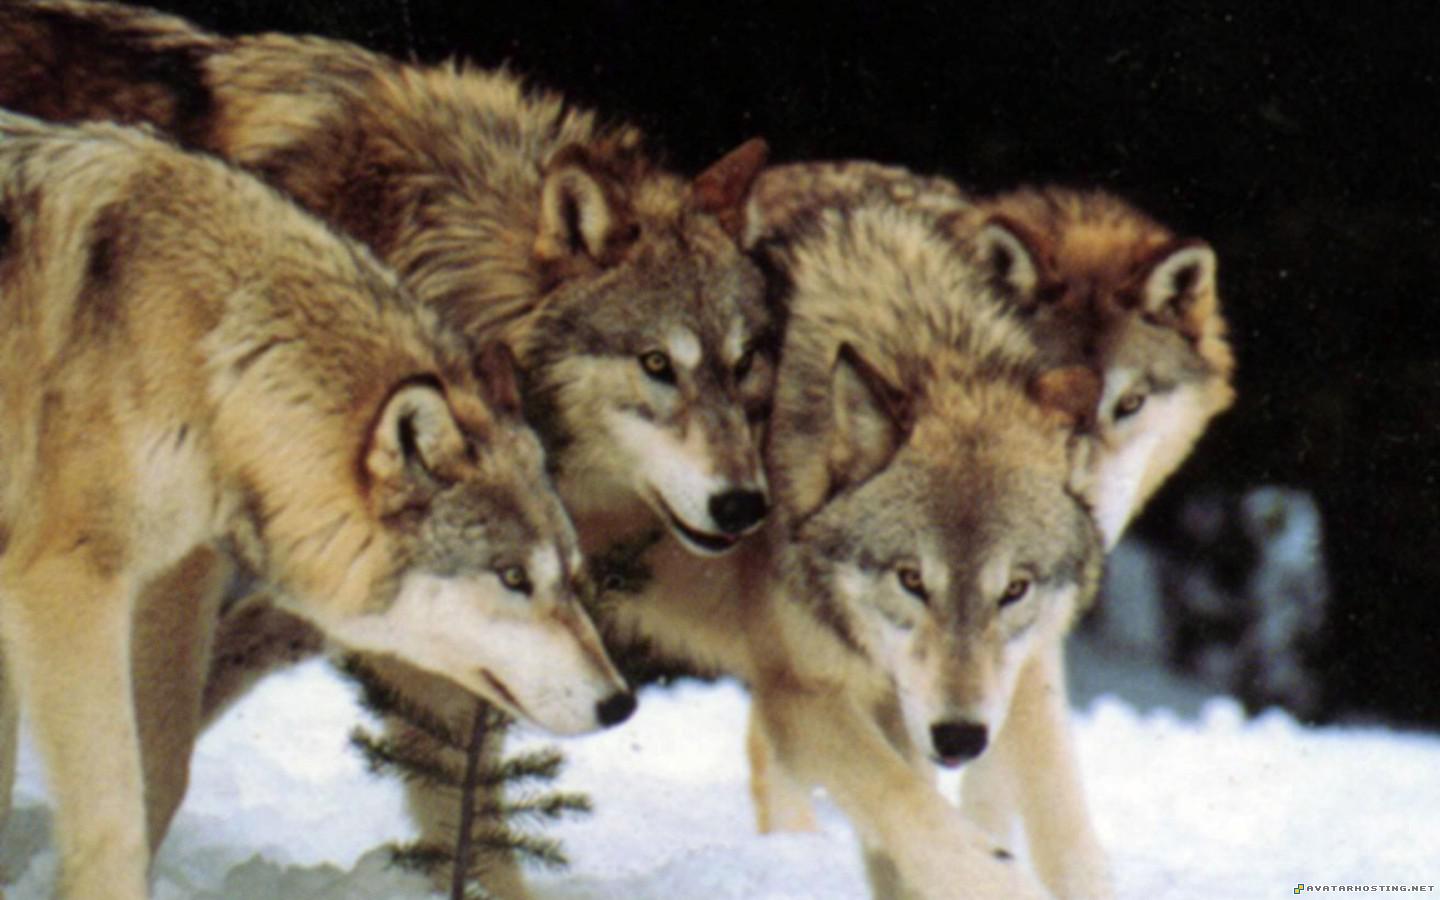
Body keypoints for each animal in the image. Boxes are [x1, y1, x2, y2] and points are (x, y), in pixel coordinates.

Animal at [0, 113, 631, 900]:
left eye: (570, 576)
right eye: (513, 578)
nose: (622, 703)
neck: (210, 356)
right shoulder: (69, 585)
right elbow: (117, 818)